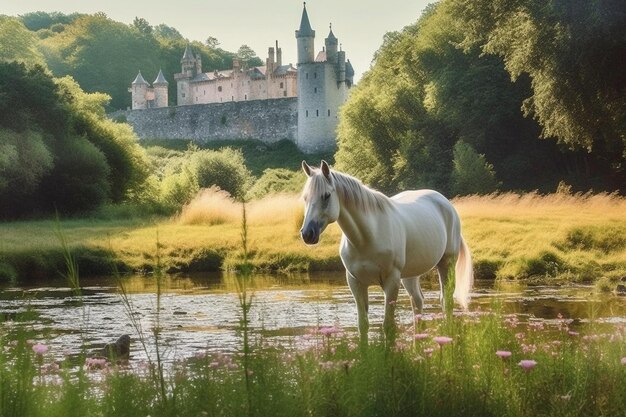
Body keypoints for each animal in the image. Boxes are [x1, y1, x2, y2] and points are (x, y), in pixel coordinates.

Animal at [300, 161, 470, 340]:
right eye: (305, 197)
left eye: (326, 196)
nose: (307, 233)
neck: (367, 238)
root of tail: (445, 203)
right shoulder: (355, 282)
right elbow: (363, 325)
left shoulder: (391, 281)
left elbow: (388, 325)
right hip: (410, 275)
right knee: (417, 301)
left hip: (446, 264)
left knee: (446, 301)